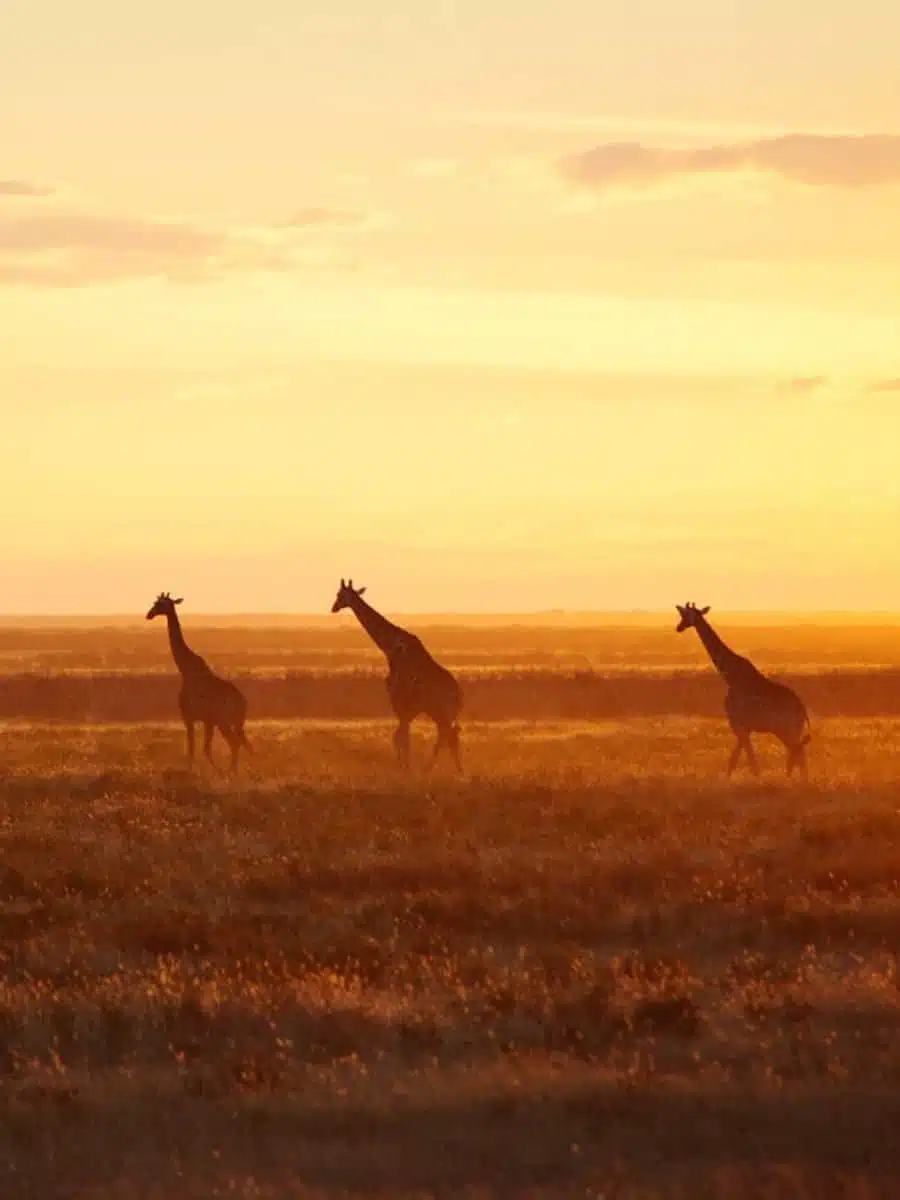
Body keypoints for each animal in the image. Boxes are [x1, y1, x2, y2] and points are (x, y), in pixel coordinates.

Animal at [145, 592, 252, 777]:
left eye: (161, 604)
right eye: (155, 602)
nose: (149, 614)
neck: (185, 670)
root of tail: (243, 702)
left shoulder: (191, 717)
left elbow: (195, 749)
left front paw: (195, 773)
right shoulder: (203, 720)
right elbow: (199, 749)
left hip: (224, 721)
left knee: (235, 743)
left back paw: (230, 772)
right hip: (233, 722)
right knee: (240, 743)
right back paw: (235, 771)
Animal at [328, 578, 460, 768]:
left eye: (341, 594)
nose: (334, 607)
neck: (389, 647)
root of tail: (458, 694)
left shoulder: (398, 698)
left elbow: (401, 737)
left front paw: (404, 768)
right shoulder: (404, 704)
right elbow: (400, 735)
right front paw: (403, 766)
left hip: (440, 710)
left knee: (448, 735)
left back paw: (433, 769)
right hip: (439, 712)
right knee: (449, 735)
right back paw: (448, 770)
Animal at [672, 600, 816, 777]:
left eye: (687, 615)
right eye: (682, 614)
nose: (679, 627)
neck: (730, 678)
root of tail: (802, 708)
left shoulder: (737, 724)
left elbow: (749, 762)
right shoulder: (744, 727)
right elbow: (736, 760)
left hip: (786, 729)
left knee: (798, 753)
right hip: (789, 730)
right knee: (798, 753)